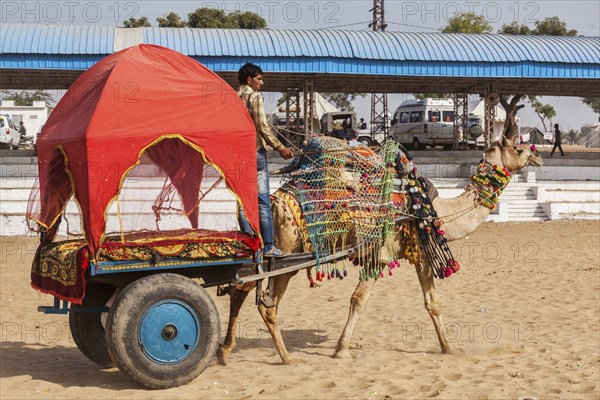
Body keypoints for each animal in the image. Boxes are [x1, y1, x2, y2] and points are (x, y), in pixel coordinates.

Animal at [217, 137, 544, 366]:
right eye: (517, 147)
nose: (538, 155)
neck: (432, 209)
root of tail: (274, 201)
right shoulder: (387, 253)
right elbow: (360, 300)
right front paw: (341, 350)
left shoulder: (414, 254)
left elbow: (431, 303)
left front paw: (448, 347)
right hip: (287, 255)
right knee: (267, 303)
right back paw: (285, 357)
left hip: (268, 256)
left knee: (241, 288)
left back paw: (225, 350)